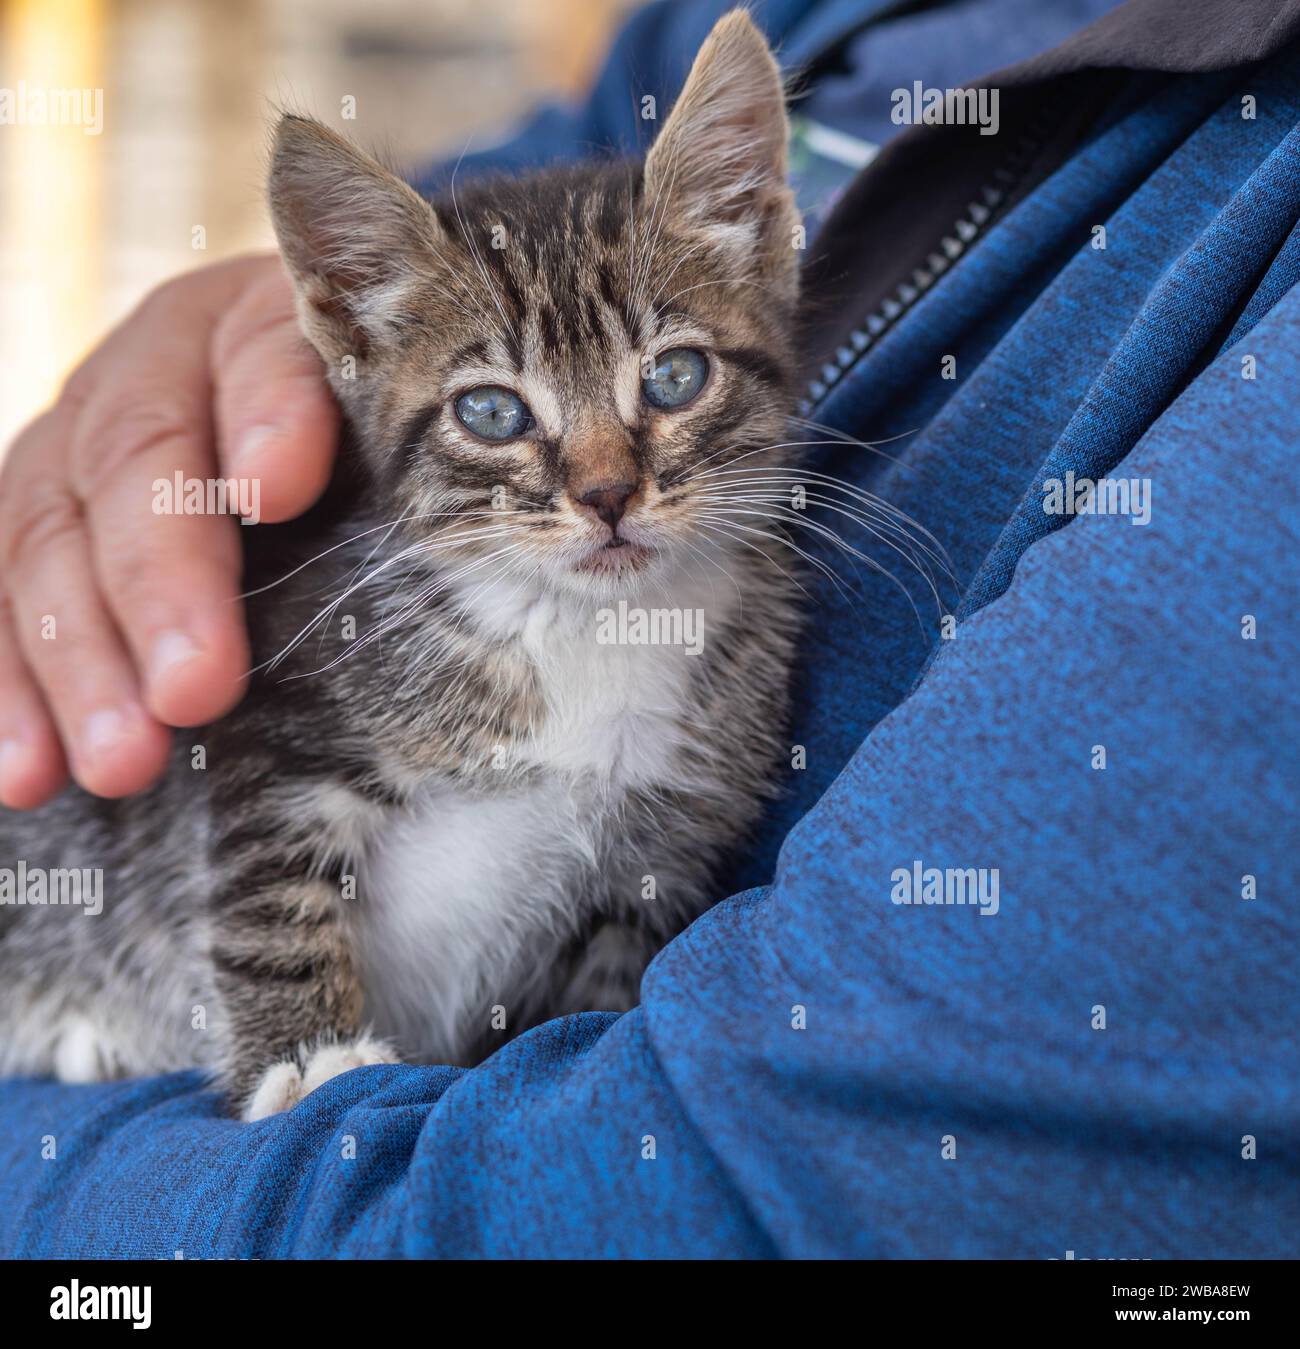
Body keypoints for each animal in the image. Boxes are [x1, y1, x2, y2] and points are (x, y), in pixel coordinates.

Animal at [0, 10, 809, 1116]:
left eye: (675, 377)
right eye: (492, 411)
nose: (607, 494)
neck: (580, 624)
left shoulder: (665, 843)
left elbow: (601, 993)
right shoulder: (273, 722)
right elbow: (269, 897)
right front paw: (306, 1060)